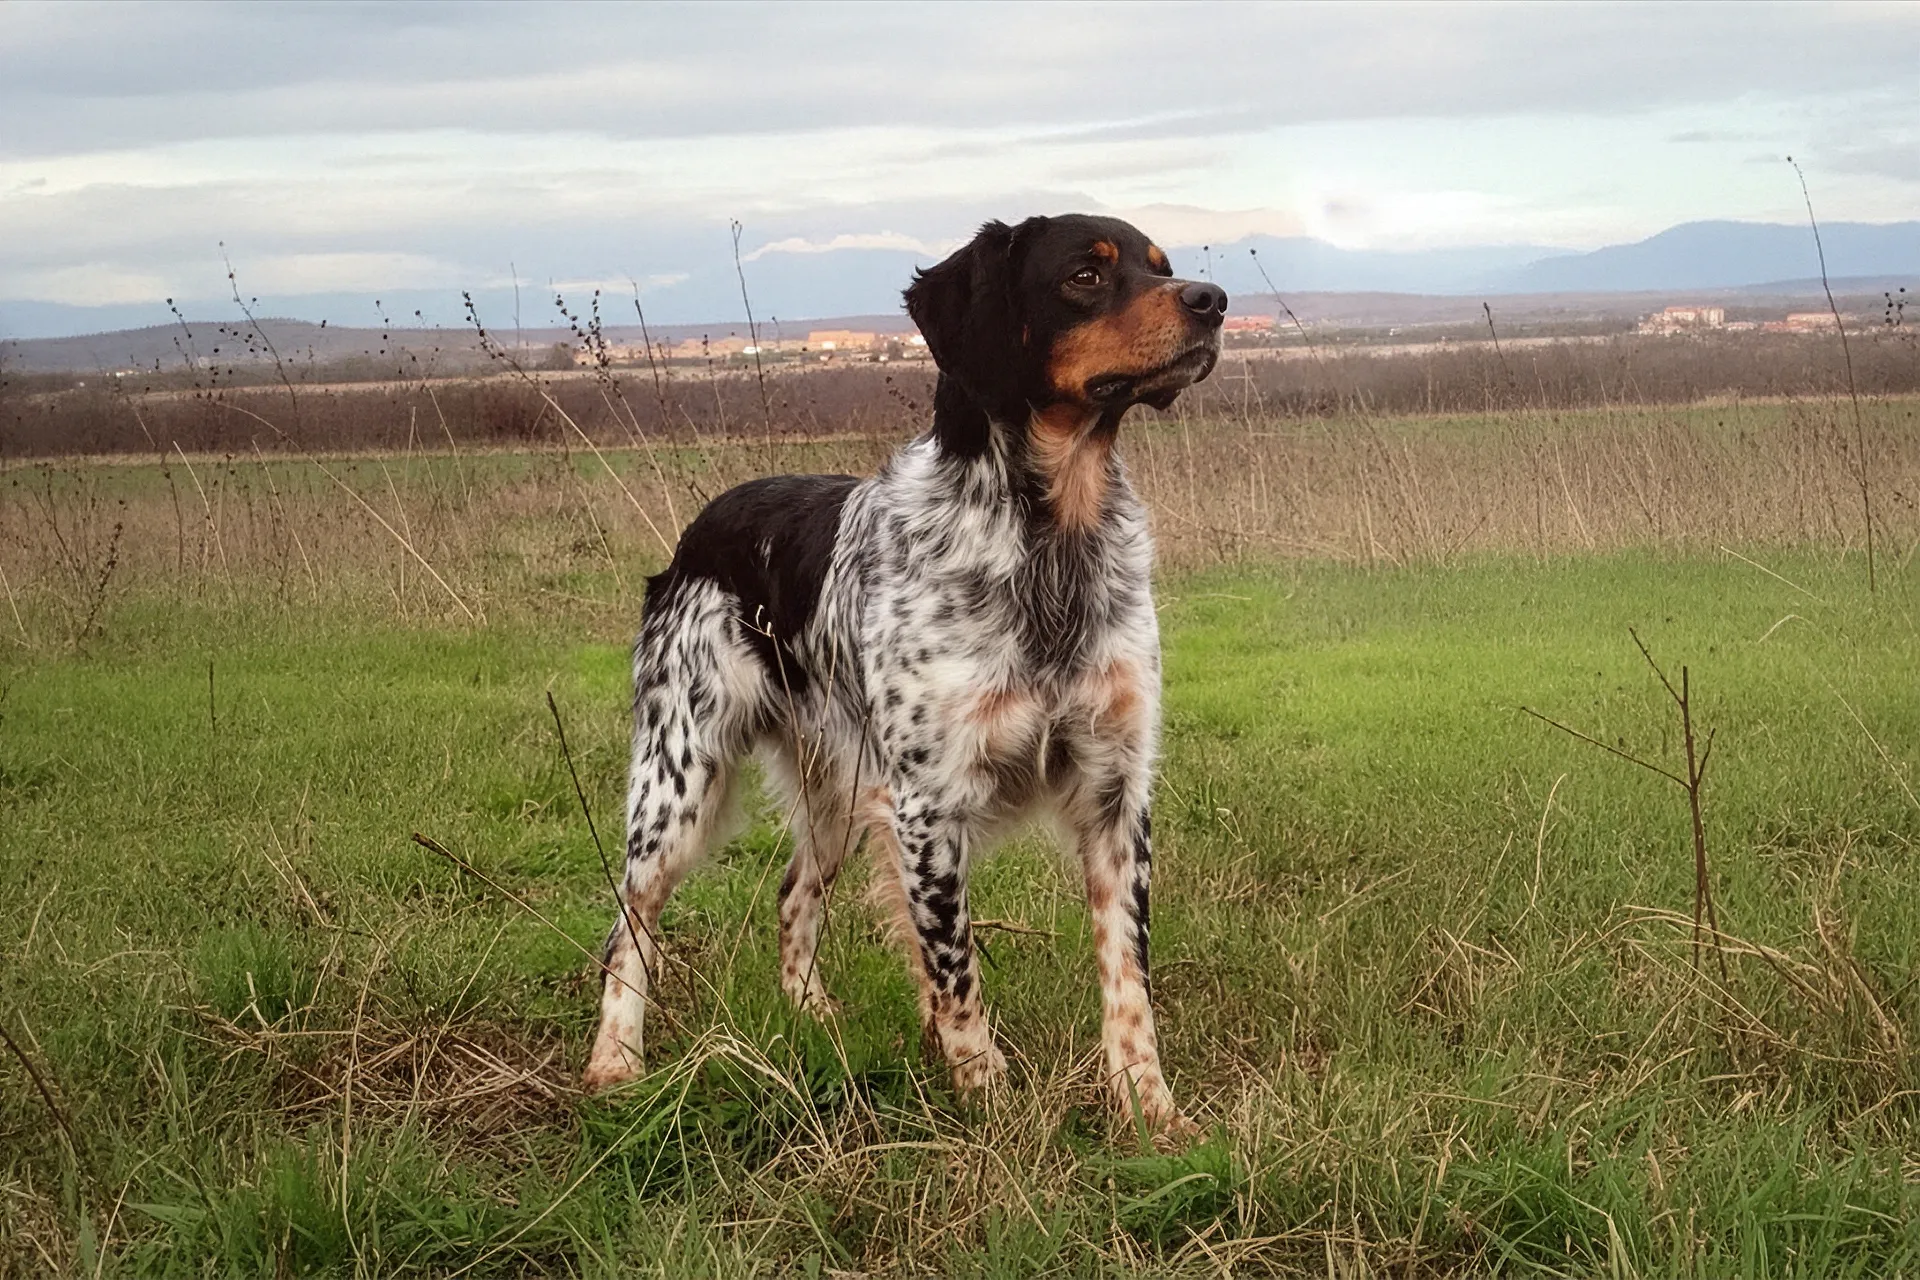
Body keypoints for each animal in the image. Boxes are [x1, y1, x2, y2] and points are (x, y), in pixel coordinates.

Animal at [582, 214, 1226, 1135]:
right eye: (1085, 274)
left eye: (1161, 266)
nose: (1213, 301)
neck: (1051, 541)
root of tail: (702, 526)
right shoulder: (927, 806)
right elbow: (957, 976)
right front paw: (989, 1104)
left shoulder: (1116, 791)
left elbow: (1127, 979)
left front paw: (1153, 1112)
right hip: (678, 782)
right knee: (627, 925)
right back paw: (615, 1061)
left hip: (837, 793)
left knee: (792, 894)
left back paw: (811, 1018)